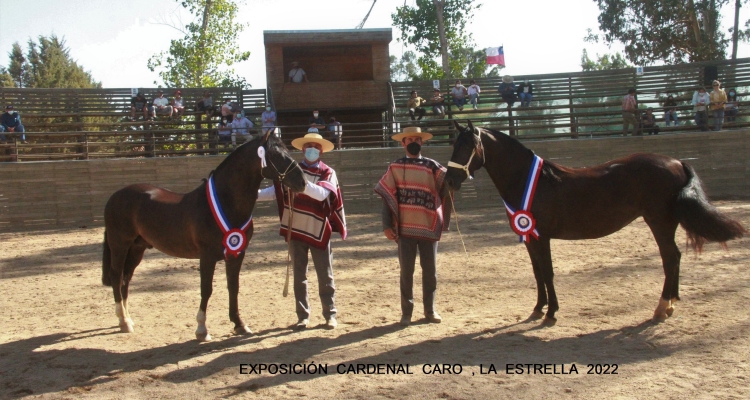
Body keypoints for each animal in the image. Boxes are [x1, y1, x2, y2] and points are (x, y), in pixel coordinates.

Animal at [102, 135, 306, 340]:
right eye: (276, 154)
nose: (302, 182)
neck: (227, 203)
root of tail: (115, 196)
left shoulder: (236, 254)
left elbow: (233, 287)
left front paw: (239, 324)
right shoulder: (207, 256)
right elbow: (206, 289)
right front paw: (201, 329)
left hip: (136, 248)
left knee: (126, 279)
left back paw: (127, 319)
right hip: (120, 246)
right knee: (116, 276)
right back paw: (124, 321)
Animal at [446, 122, 748, 324]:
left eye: (468, 146)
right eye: (454, 145)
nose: (449, 180)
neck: (532, 181)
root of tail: (676, 162)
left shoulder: (542, 237)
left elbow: (548, 273)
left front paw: (552, 312)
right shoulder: (530, 238)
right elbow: (537, 273)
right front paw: (538, 308)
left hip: (659, 222)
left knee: (670, 258)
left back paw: (662, 307)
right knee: (674, 258)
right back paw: (672, 303)